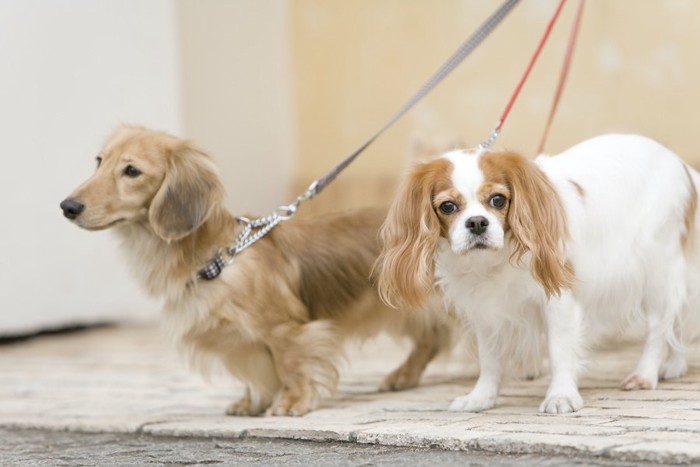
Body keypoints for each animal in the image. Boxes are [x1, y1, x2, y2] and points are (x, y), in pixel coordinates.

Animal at [61, 125, 454, 416]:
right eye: (98, 161)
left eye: (131, 171)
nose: (68, 206)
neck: (219, 256)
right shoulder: (242, 344)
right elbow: (257, 376)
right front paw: (251, 402)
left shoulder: (285, 330)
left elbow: (290, 365)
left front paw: (292, 402)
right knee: (432, 338)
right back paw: (405, 374)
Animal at [378, 134, 700, 414]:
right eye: (447, 206)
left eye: (498, 200)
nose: (478, 222)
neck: (495, 259)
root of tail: (682, 166)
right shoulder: (485, 308)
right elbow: (489, 358)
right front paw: (481, 398)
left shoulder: (558, 298)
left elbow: (559, 350)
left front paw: (561, 396)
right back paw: (674, 366)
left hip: (657, 267)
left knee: (659, 324)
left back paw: (645, 374)